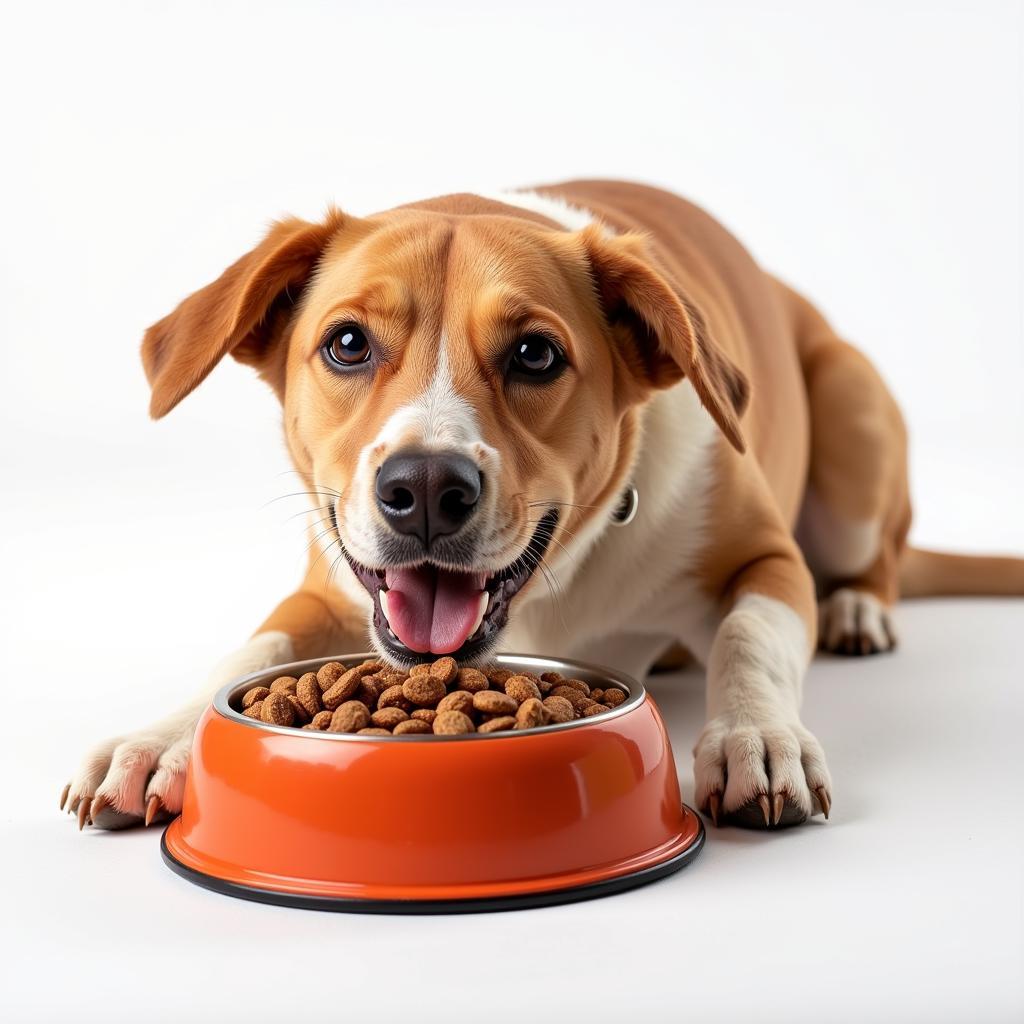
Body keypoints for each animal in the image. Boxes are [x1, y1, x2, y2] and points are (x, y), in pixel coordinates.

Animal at [61, 178, 1024, 831]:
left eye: (534, 354)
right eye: (345, 343)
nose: (424, 490)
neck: (551, 590)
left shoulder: (765, 558)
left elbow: (753, 638)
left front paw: (755, 737)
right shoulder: (326, 592)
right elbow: (249, 652)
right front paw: (162, 738)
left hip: (853, 415)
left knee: (877, 558)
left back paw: (859, 608)